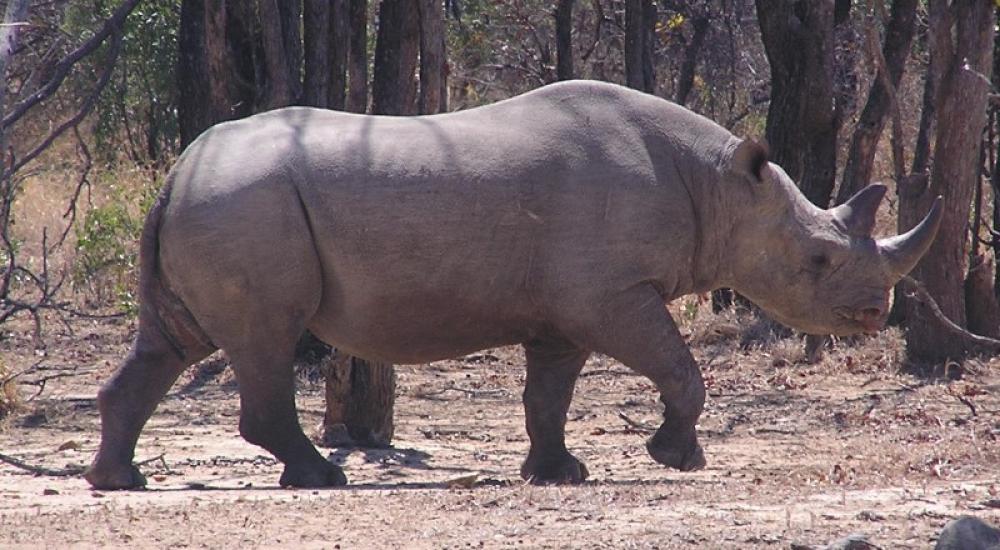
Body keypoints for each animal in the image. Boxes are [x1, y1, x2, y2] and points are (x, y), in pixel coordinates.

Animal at [85, 80, 941, 489]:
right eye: (818, 262)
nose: (875, 313)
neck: (720, 183)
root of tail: (177, 172)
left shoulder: (564, 310)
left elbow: (548, 395)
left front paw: (559, 473)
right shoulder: (611, 295)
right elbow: (680, 367)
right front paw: (677, 458)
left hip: (219, 203)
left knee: (171, 341)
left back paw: (121, 481)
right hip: (244, 205)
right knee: (262, 338)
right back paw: (322, 477)